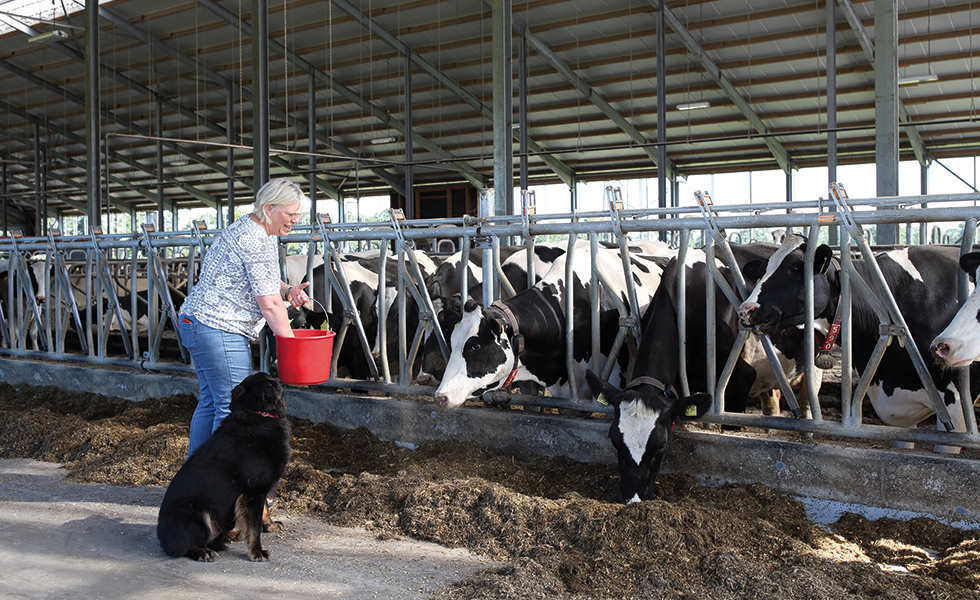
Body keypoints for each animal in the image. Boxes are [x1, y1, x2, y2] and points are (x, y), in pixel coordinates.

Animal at [157, 372, 290, 560]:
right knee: (185, 547)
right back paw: (203, 552)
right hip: (194, 509)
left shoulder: (259, 489)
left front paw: (269, 525)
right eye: (270, 382)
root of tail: (162, 539)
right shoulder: (254, 490)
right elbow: (254, 528)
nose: (278, 379)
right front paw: (257, 551)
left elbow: (264, 510)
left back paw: (233, 534)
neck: (258, 414)